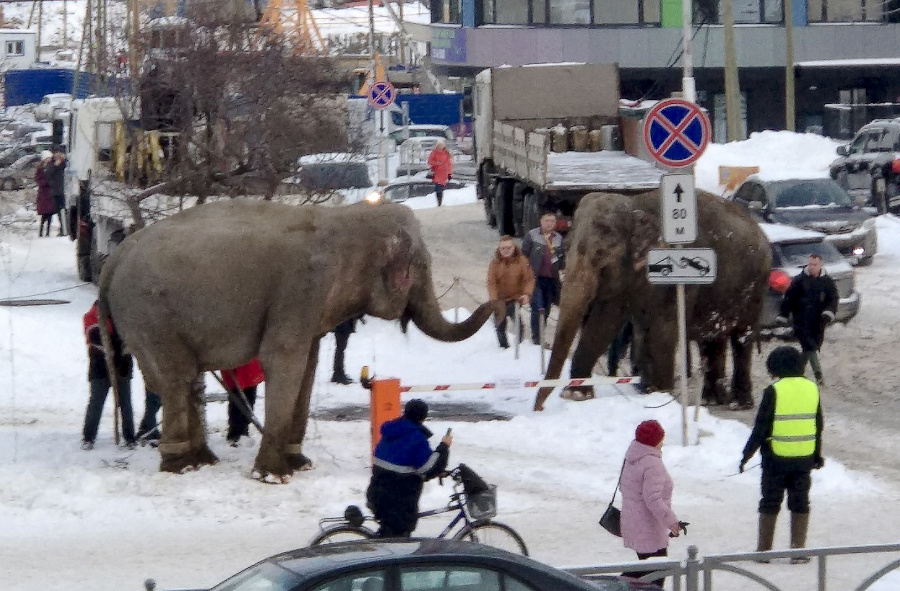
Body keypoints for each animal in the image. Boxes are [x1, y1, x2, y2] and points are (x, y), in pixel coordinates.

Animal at [100, 199, 492, 480]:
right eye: (420, 266)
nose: (493, 301)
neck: (345, 218)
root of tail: (114, 258)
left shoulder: (313, 307)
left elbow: (308, 366)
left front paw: (300, 464)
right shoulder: (301, 289)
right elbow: (283, 359)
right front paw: (273, 476)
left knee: (187, 380)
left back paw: (203, 461)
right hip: (151, 315)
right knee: (176, 378)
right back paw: (182, 465)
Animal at [532, 190, 768, 412]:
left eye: (600, 254)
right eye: (565, 246)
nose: (539, 408)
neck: (634, 205)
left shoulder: (674, 276)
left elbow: (664, 329)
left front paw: (660, 395)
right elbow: (604, 322)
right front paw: (577, 395)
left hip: (754, 287)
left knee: (742, 339)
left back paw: (739, 403)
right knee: (711, 340)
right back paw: (711, 399)